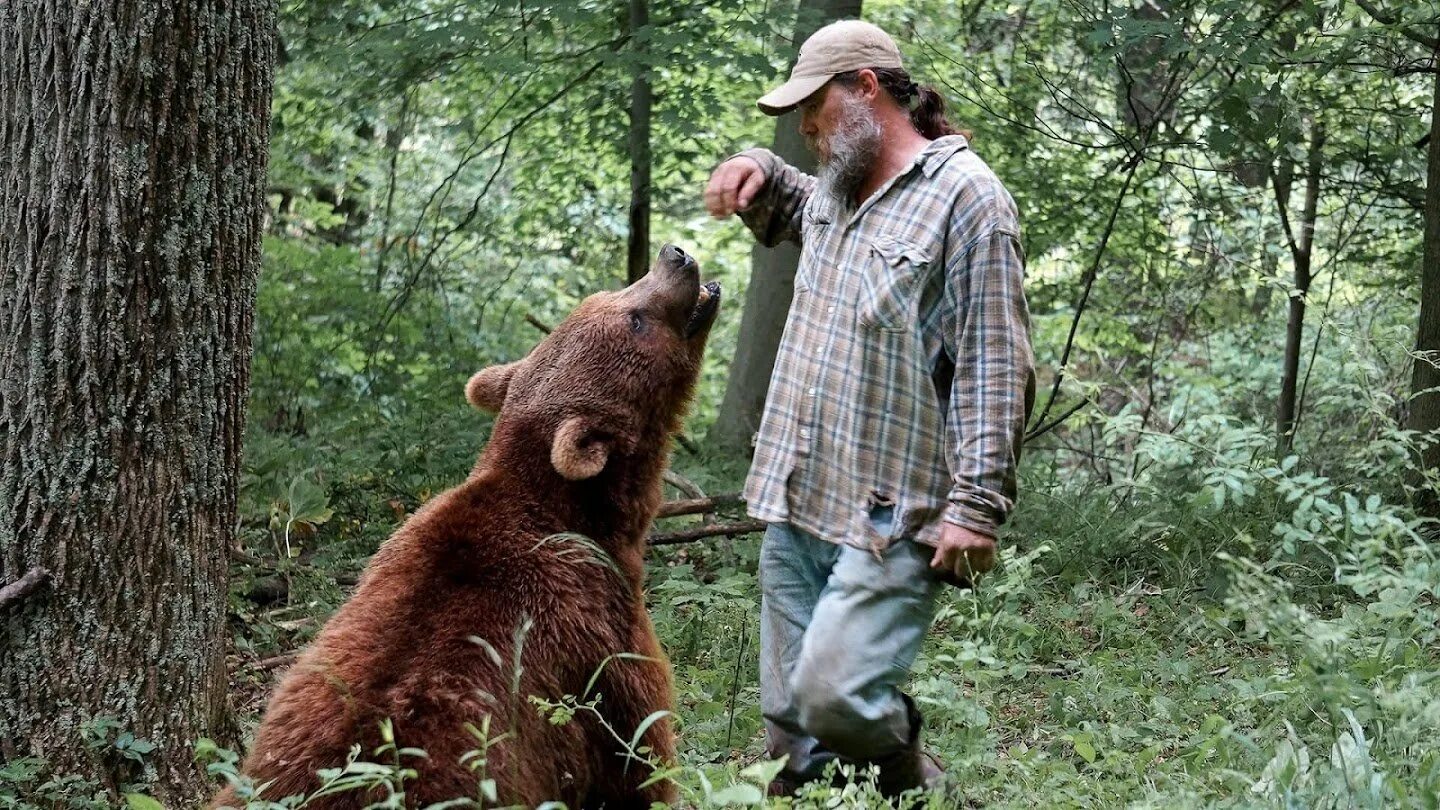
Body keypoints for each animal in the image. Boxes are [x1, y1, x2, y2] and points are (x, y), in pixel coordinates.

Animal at [211, 240, 720, 807]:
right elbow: (637, 755)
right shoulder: (600, 640)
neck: (589, 518)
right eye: (635, 319)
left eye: (608, 294)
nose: (675, 256)